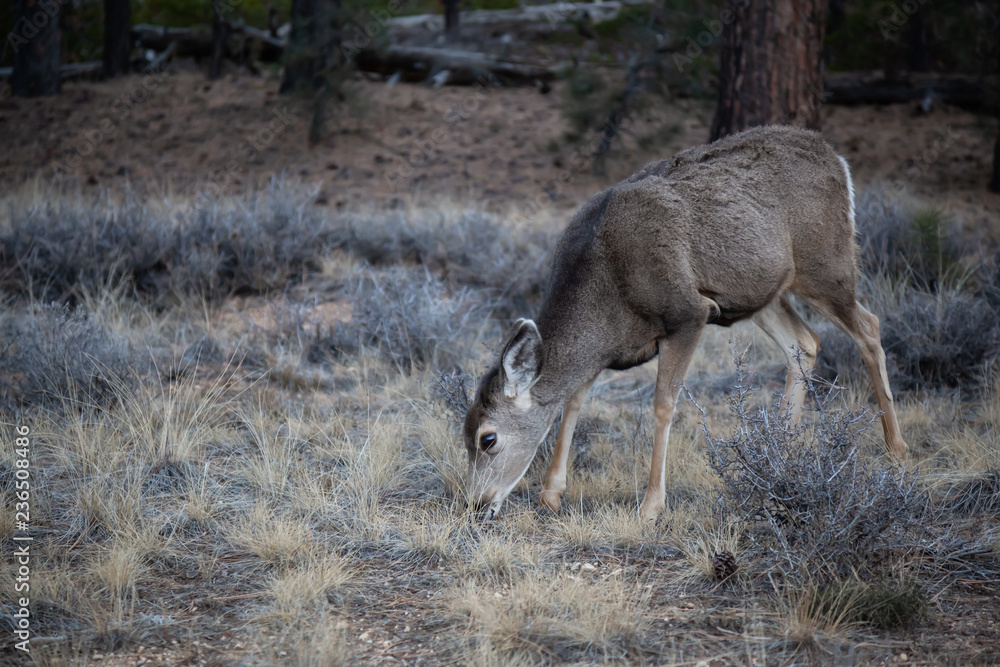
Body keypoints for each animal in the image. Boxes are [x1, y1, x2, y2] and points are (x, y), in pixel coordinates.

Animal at [463, 125, 908, 522]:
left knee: (869, 327)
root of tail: (836, 158)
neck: (606, 293)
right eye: (464, 436)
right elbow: (573, 400)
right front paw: (551, 494)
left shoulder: (689, 312)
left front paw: (651, 506)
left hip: (826, 262)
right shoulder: (607, 348)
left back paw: (896, 451)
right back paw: (783, 456)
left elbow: (663, 404)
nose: (475, 504)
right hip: (763, 292)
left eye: (488, 438)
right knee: (805, 342)